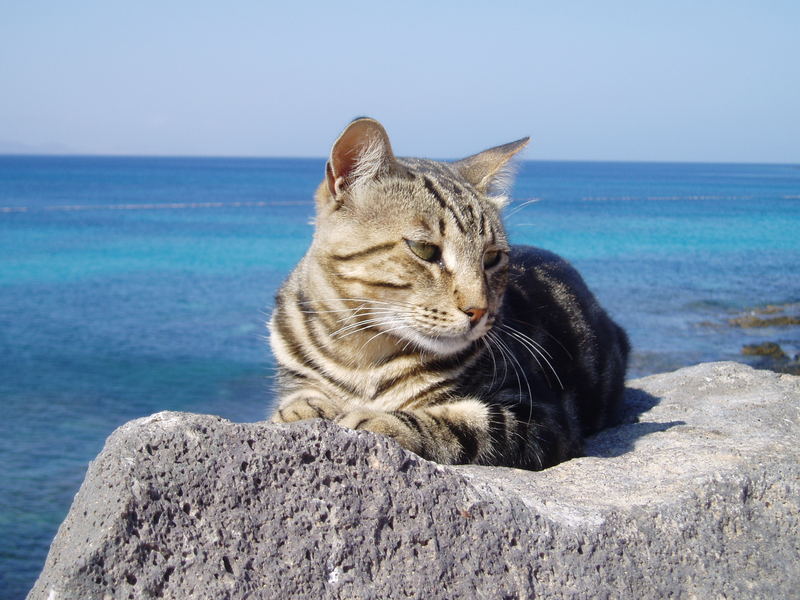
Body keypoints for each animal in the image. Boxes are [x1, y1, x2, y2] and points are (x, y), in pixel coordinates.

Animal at [268, 118, 632, 468]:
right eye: (425, 250)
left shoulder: (541, 416)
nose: (480, 310)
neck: (362, 355)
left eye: (492, 257)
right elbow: (300, 397)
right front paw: (298, 409)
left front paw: (382, 421)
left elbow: (463, 424)